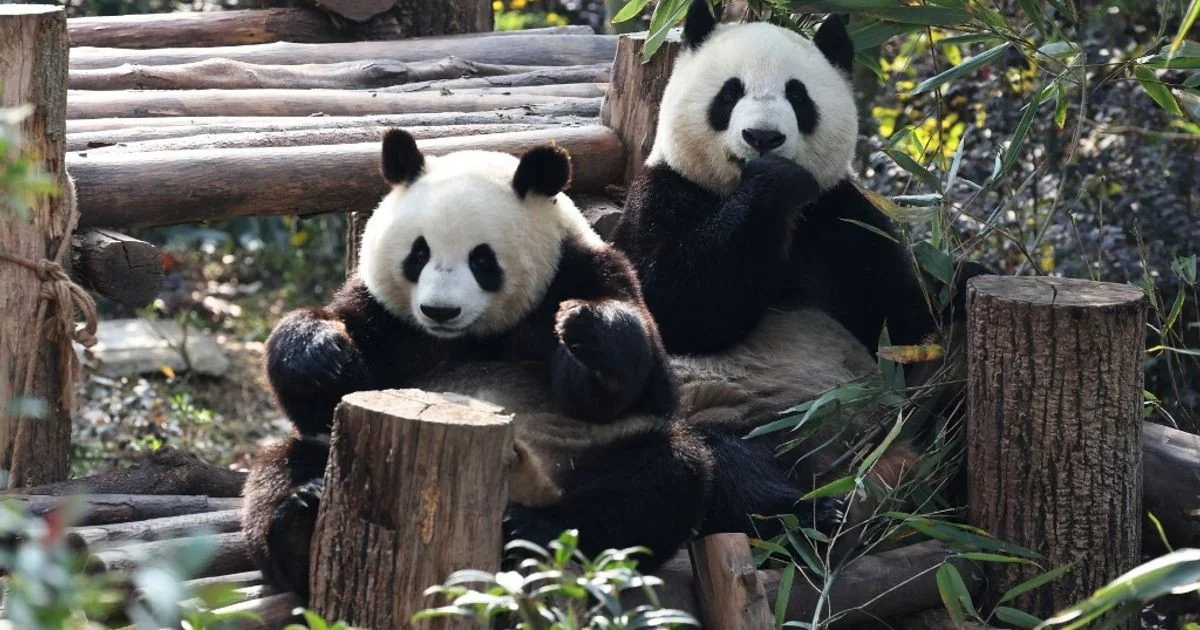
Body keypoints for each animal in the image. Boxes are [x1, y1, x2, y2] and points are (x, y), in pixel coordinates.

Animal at [242, 129, 714, 602]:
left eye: (482, 259)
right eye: (418, 253)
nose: (440, 310)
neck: (472, 335)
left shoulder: (585, 271)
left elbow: (633, 391)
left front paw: (589, 331)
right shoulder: (386, 317)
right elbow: (326, 396)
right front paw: (319, 351)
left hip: (588, 455)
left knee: (661, 480)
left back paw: (536, 530)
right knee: (279, 468)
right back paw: (299, 524)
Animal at [610, 0, 987, 538]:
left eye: (798, 95)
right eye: (730, 93)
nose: (763, 137)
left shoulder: (842, 218)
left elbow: (907, 316)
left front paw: (967, 274)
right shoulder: (662, 195)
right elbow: (675, 307)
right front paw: (773, 183)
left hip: (901, 409)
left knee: (953, 388)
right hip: (724, 413)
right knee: (712, 464)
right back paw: (811, 512)